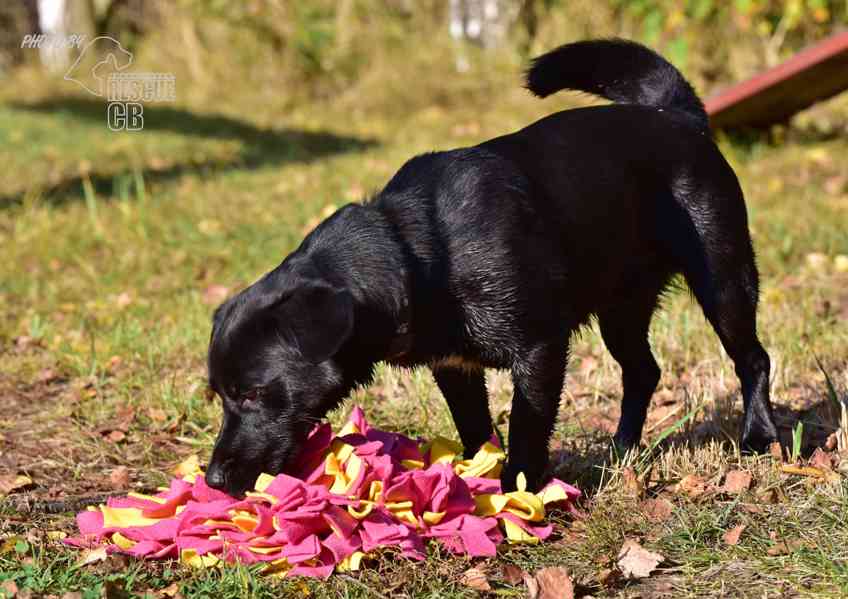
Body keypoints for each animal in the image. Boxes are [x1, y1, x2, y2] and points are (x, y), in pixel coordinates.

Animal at [204, 38, 776, 496]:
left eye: (252, 393)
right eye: (221, 395)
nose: (213, 479)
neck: (420, 254)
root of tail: (676, 117)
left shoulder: (540, 351)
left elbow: (526, 428)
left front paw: (517, 492)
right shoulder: (455, 369)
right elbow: (477, 431)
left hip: (724, 281)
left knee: (753, 359)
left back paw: (759, 438)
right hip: (621, 307)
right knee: (644, 371)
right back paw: (622, 450)